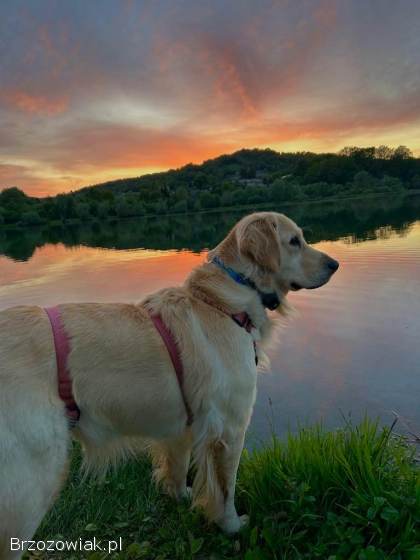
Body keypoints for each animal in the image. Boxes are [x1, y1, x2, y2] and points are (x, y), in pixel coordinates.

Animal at [0, 212, 338, 556]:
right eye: (294, 241)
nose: (335, 264)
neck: (222, 302)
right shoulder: (230, 428)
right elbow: (225, 490)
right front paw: (232, 525)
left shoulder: (183, 425)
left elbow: (177, 469)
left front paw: (182, 497)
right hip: (32, 482)